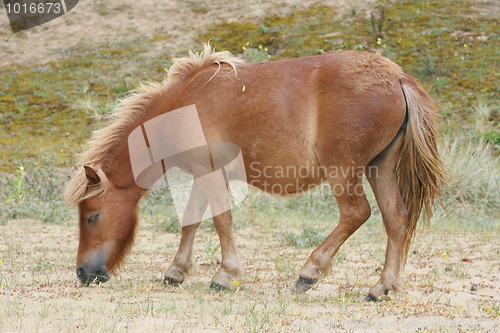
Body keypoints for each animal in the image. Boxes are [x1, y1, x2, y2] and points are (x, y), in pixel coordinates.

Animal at [64, 42, 444, 300]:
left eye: (92, 216)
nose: (83, 272)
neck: (183, 107)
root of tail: (397, 77)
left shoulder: (211, 174)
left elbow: (221, 220)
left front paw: (225, 275)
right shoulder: (204, 173)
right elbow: (191, 220)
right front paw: (176, 271)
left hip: (345, 171)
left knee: (355, 213)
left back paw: (310, 272)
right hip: (380, 167)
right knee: (395, 219)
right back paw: (382, 287)